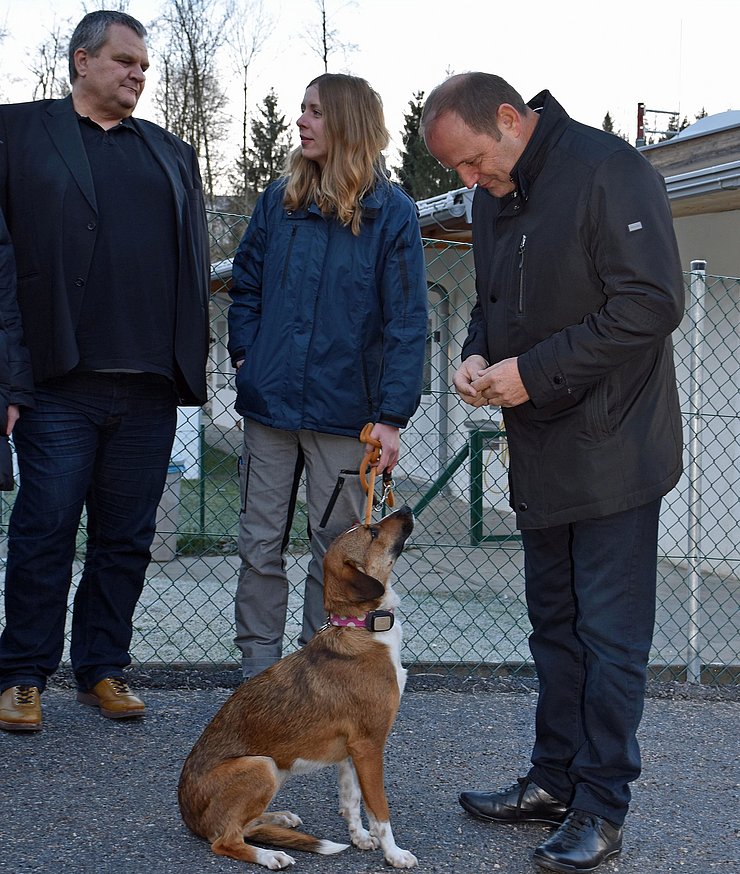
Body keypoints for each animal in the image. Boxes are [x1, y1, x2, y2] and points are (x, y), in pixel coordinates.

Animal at [178, 504, 416, 864]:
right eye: (373, 532)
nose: (406, 508)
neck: (360, 627)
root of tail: (189, 816)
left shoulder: (351, 751)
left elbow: (351, 801)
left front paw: (360, 838)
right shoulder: (369, 745)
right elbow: (379, 811)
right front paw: (395, 854)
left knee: (243, 825)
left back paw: (279, 819)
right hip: (262, 766)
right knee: (226, 839)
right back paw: (270, 856)